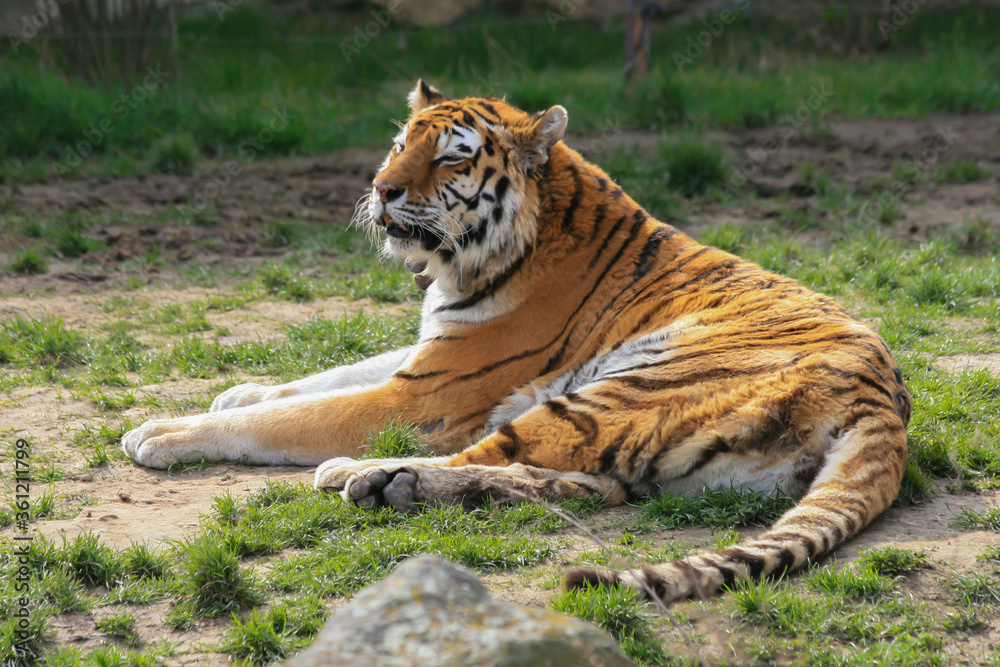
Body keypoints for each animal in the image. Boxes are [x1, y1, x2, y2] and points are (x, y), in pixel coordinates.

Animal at [122, 80, 911, 603]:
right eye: (400, 144)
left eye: (450, 159)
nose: (381, 189)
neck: (468, 260)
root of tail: (886, 406)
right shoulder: (430, 346)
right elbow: (322, 375)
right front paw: (236, 389)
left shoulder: (427, 394)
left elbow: (292, 415)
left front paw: (161, 432)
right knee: (588, 483)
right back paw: (394, 486)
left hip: (620, 389)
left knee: (504, 454)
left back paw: (365, 475)